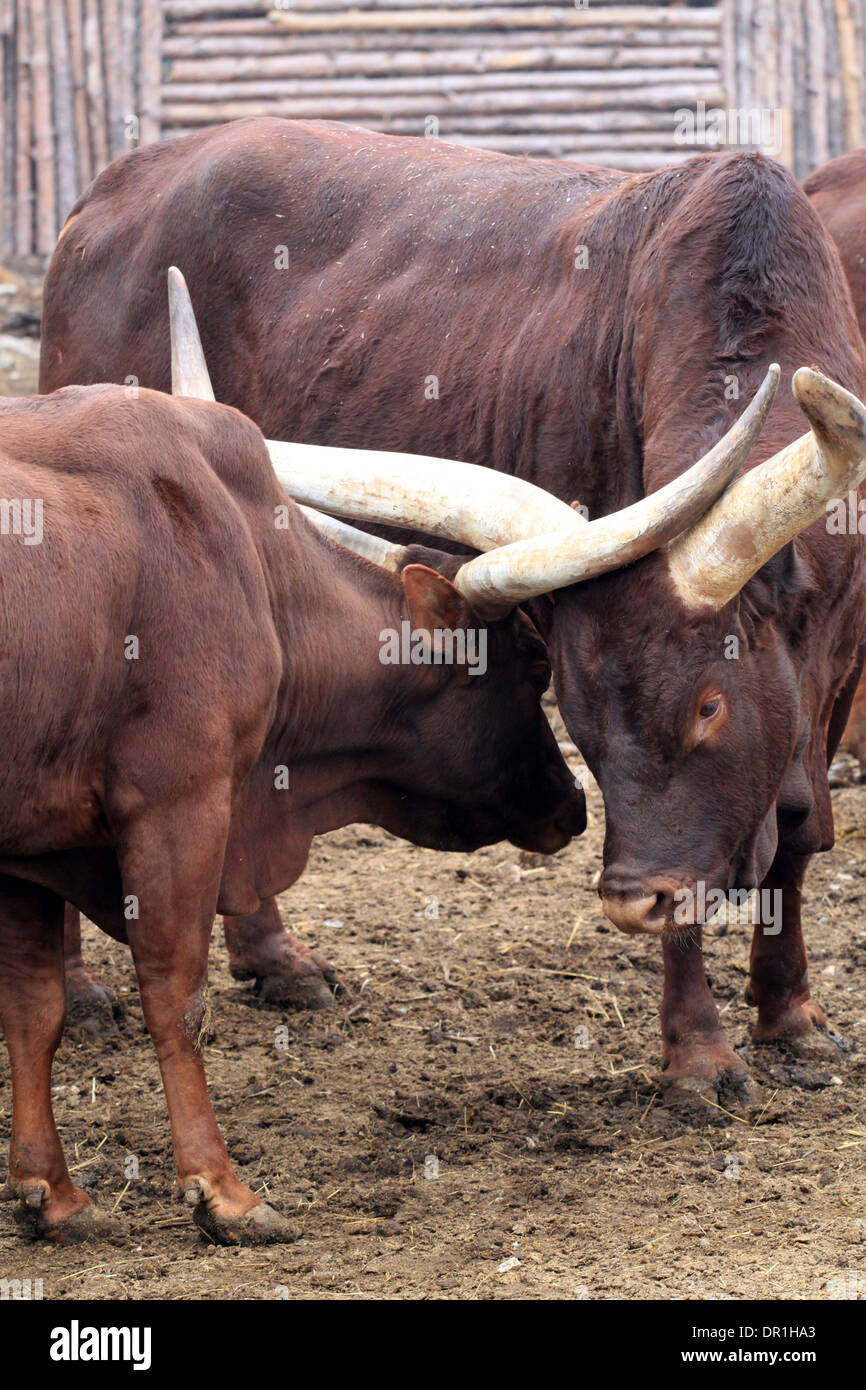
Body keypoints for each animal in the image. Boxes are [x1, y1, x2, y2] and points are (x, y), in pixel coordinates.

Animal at [40, 119, 866, 1095]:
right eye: (577, 716)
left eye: (710, 705)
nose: (633, 903)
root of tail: (116, 184)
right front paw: (701, 1056)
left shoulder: (836, 671)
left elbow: (801, 837)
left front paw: (791, 1016)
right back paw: (83, 992)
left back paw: (277, 961)